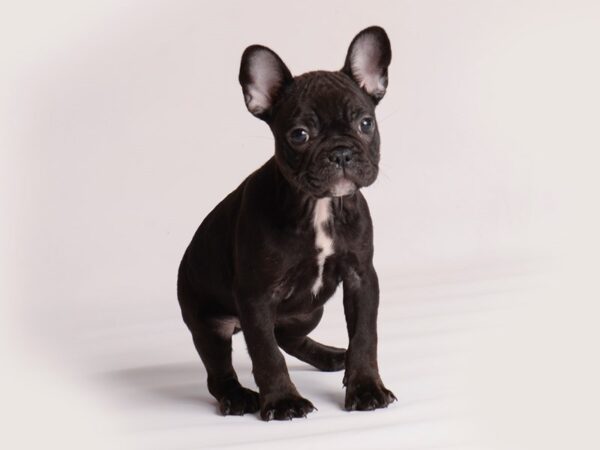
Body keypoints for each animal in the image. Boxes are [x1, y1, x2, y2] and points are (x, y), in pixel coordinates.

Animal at [176, 25, 396, 422]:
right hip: (209, 324)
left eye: (365, 123)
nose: (341, 152)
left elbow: (364, 337)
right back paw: (237, 397)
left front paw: (366, 387)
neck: (318, 205)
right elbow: (266, 354)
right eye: (299, 135)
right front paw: (282, 401)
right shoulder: (257, 295)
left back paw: (330, 356)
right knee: (221, 370)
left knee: (287, 335)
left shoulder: (361, 278)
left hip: (308, 312)